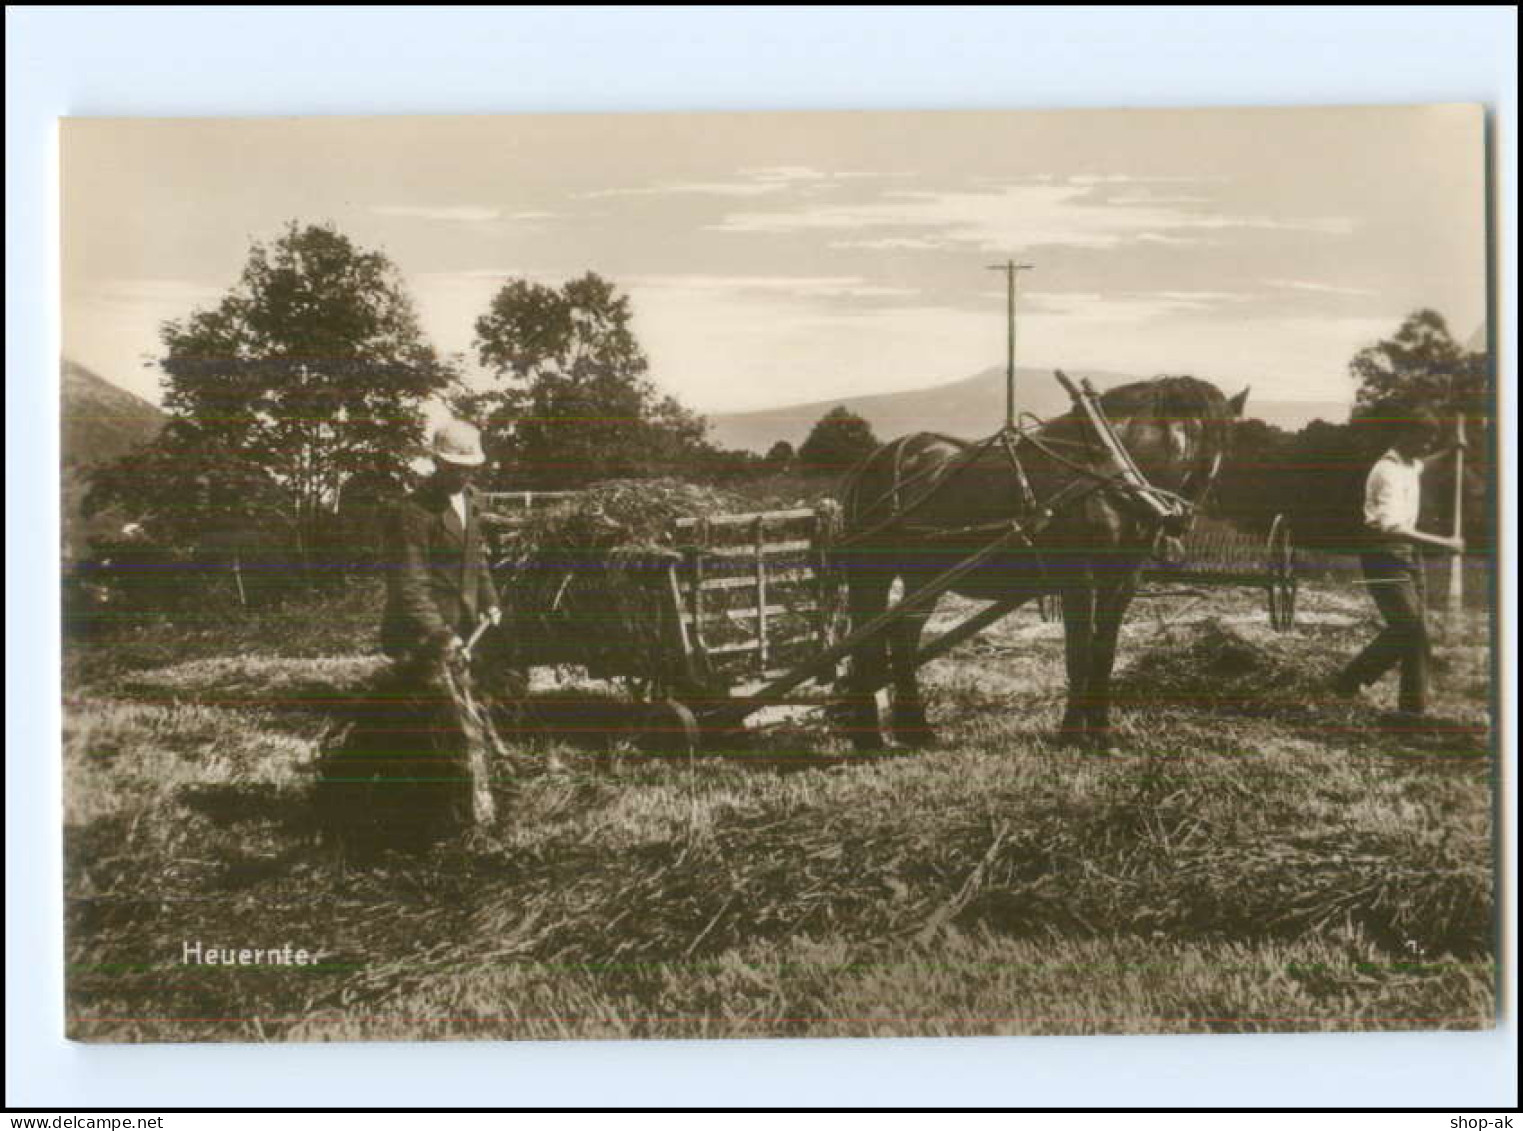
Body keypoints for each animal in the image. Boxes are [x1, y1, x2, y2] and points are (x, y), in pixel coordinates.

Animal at [834, 375, 1248, 755]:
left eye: (1222, 449)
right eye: (1184, 440)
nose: (1178, 520)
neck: (1108, 477)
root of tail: (874, 461)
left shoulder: (1122, 581)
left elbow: (1104, 654)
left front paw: (1102, 734)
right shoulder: (1079, 580)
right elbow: (1078, 655)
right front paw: (1071, 735)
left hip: (924, 575)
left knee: (901, 636)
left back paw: (914, 732)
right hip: (874, 572)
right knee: (869, 639)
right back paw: (870, 737)